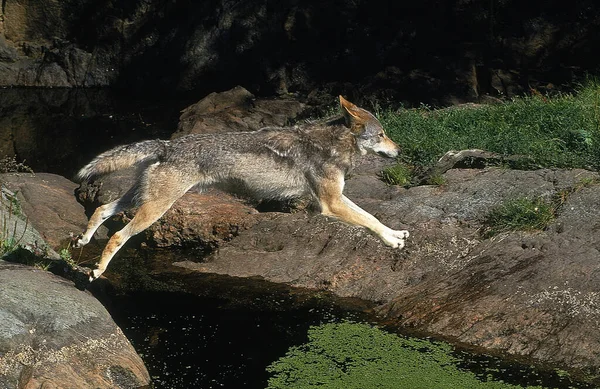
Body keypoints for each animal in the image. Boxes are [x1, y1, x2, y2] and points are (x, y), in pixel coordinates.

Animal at [75, 95, 410, 280]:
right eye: (381, 135)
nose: (400, 149)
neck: (333, 144)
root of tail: (167, 144)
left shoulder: (338, 198)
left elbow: (372, 217)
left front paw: (395, 235)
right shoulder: (331, 204)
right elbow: (367, 219)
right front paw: (392, 241)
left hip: (139, 199)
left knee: (102, 209)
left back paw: (82, 240)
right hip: (154, 209)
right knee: (118, 235)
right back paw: (97, 270)